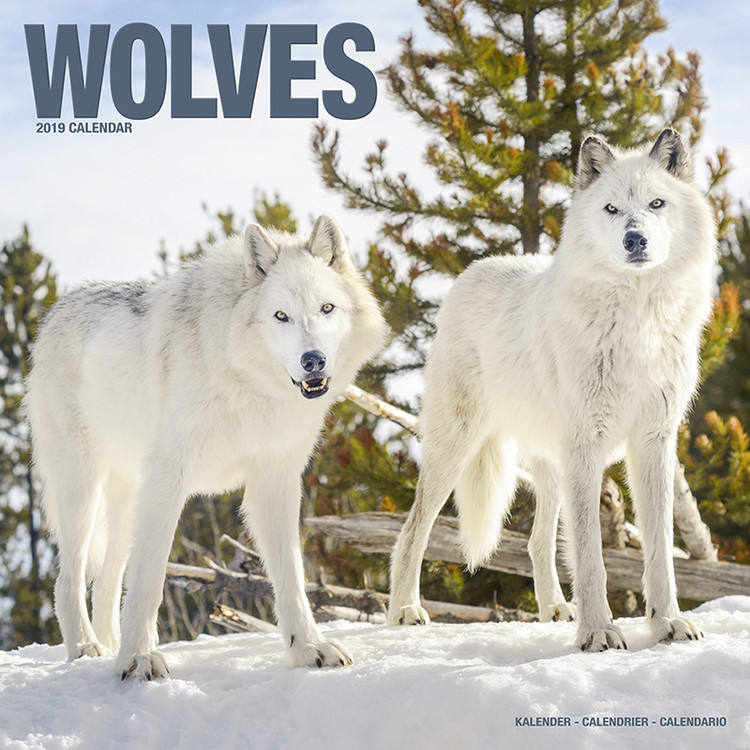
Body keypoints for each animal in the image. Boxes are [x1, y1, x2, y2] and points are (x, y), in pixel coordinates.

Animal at [26, 215, 386, 679]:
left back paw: (106, 647)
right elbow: (149, 582)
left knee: (106, 581)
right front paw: (139, 660)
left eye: (327, 308)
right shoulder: (169, 479)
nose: (313, 361)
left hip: (126, 503)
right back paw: (87, 649)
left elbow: (292, 577)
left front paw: (309, 649)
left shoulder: (275, 482)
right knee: (68, 578)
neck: (245, 382)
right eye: (281, 316)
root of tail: (55, 311)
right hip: (81, 491)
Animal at [388, 129, 717, 652]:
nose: (635, 239)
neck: (637, 324)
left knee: (535, 542)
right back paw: (404, 610)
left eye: (656, 203)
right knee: (411, 532)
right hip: (455, 452)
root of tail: (472, 271)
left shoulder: (653, 444)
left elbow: (660, 551)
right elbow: (591, 557)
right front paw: (599, 632)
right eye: (610, 208)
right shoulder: (586, 446)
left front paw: (667, 623)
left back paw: (555, 610)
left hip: (551, 468)